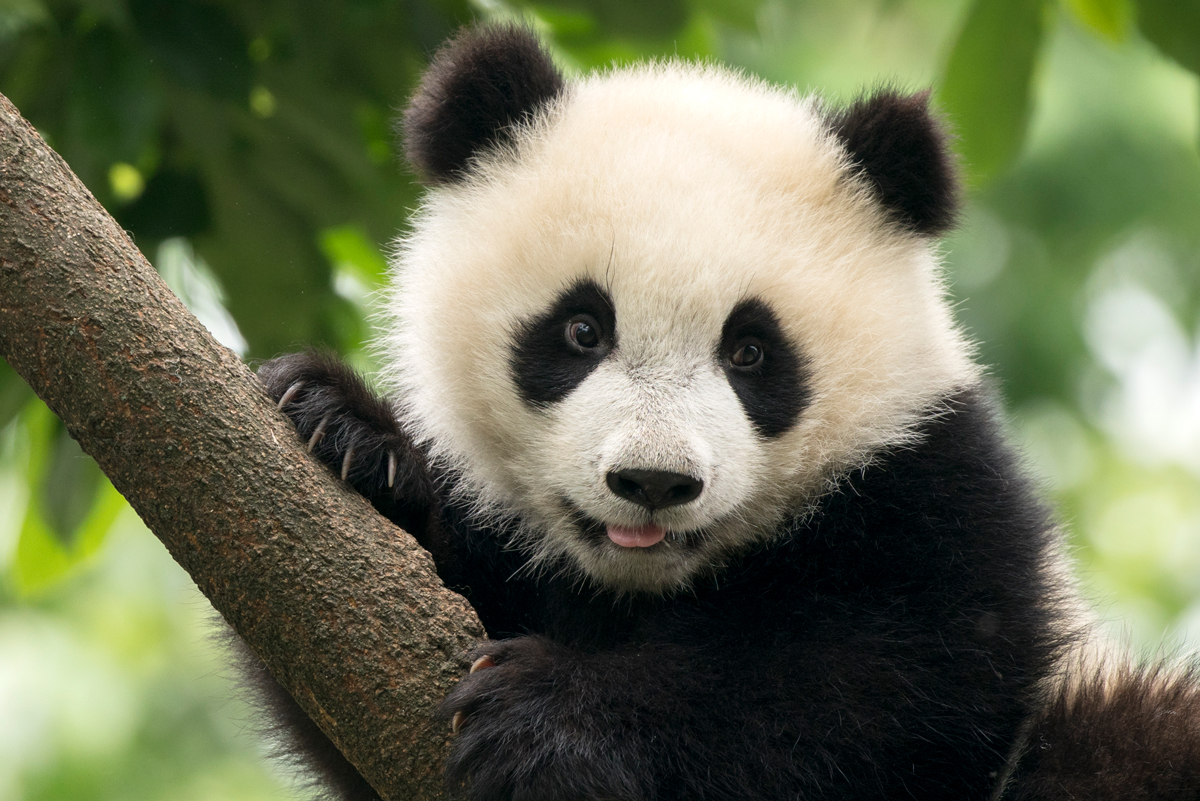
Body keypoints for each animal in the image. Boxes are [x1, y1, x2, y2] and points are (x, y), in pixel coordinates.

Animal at [250, 23, 1200, 801]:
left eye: (750, 352)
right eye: (582, 329)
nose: (653, 481)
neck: (642, 584)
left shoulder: (935, 490)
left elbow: (874, 695)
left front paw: (549, 716)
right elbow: (354, 680)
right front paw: (348, 432)